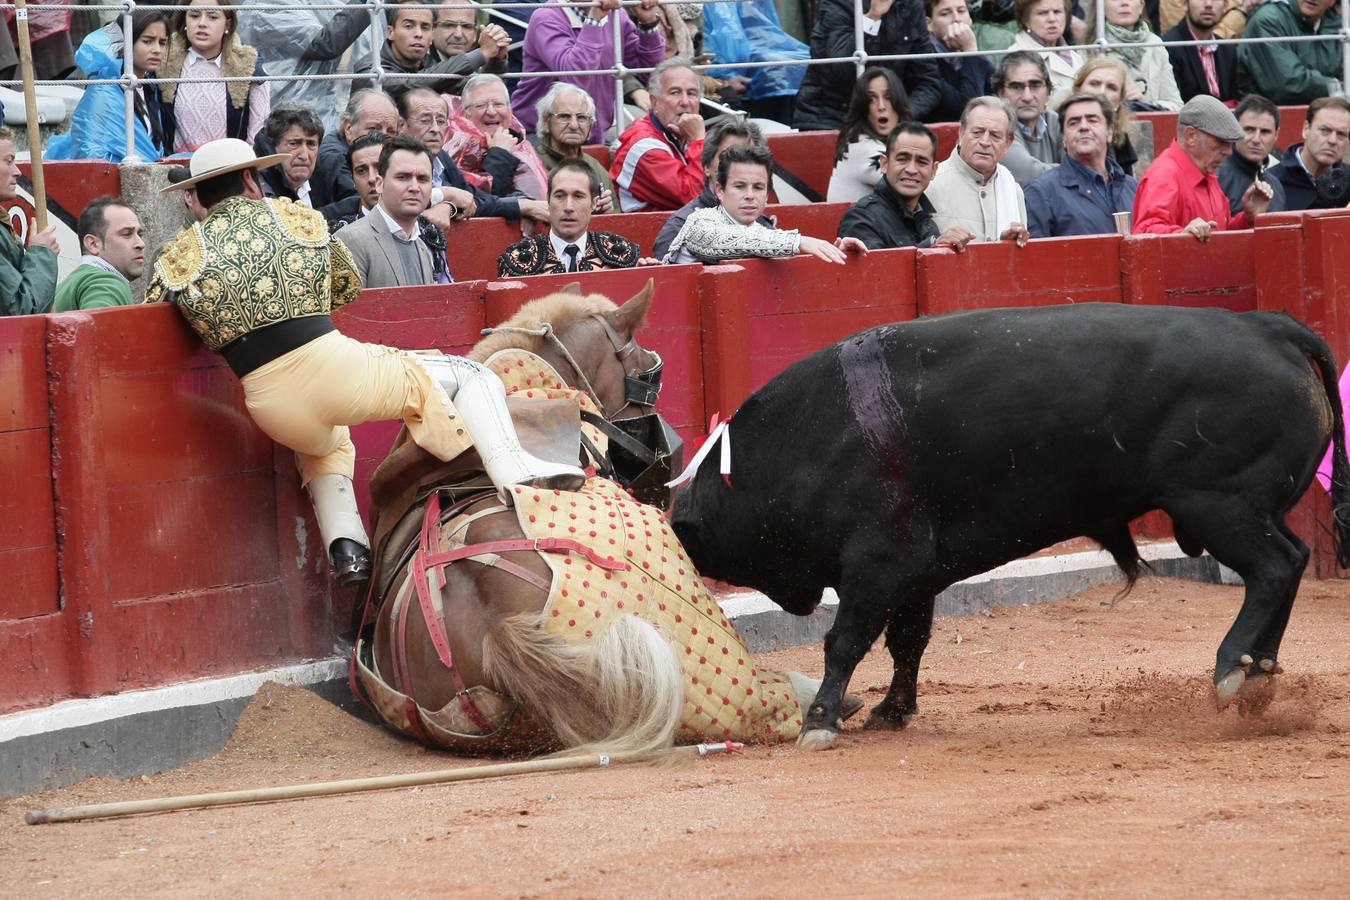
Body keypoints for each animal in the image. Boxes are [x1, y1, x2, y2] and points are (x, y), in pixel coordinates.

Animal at [669, 302, 1350, 755]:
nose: (798, 602)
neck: (810, 439)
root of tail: (1269, 327)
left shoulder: (881, 562)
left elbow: (846, 641)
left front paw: (821, 722)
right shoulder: (918, 575)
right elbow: (908, 644)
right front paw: (891, 712)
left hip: (1218, 504)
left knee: (1275, 567)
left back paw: (1232, 669)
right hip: (1241, 509)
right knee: (1291, 561)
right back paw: (1259, 674)